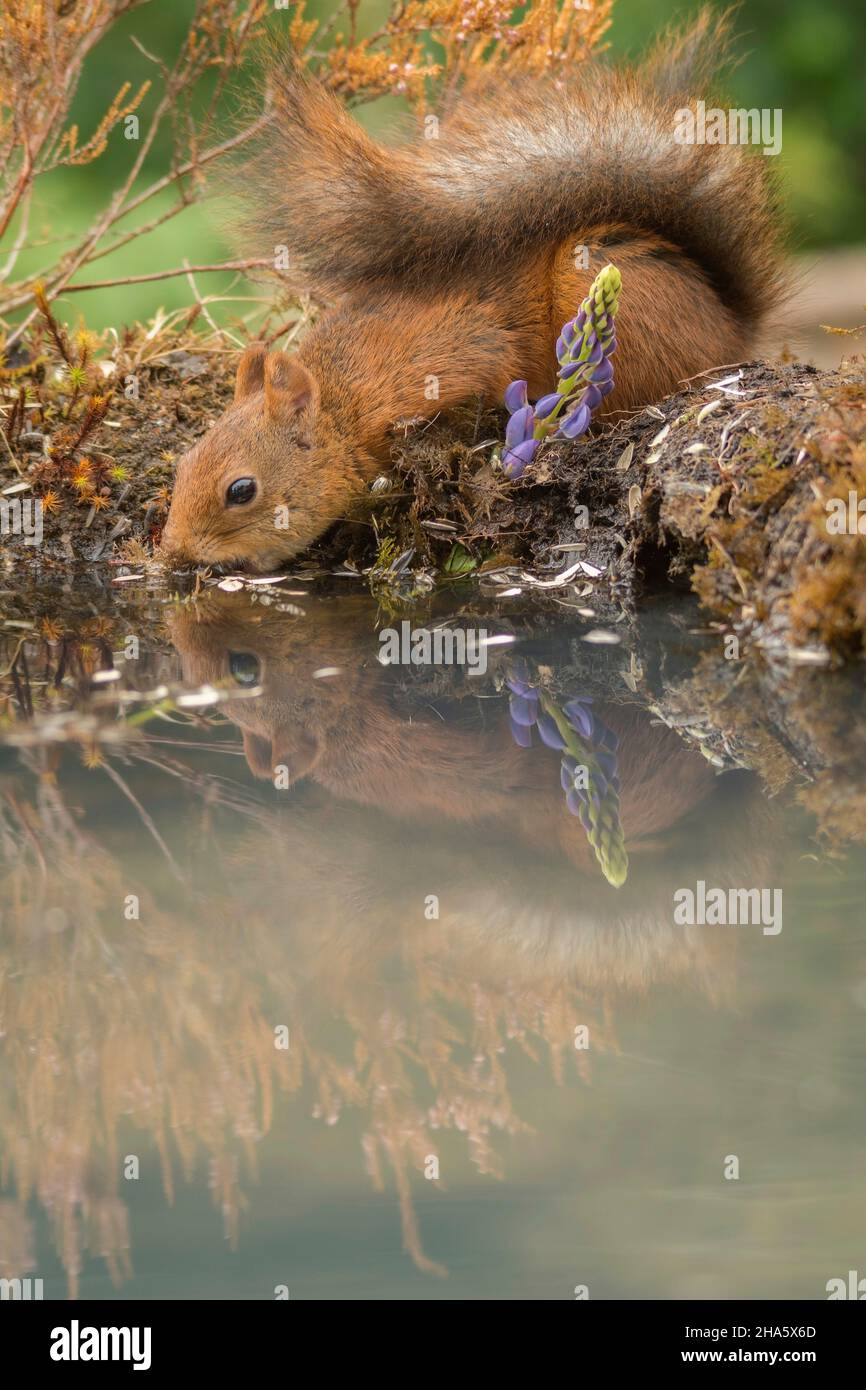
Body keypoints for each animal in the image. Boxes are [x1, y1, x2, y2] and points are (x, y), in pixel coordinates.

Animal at [161, 10, 784, 571]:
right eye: (183, 464)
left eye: (241, 490)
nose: (175, 552)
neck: (342, 405)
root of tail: (729, 324)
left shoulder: (452, 364)